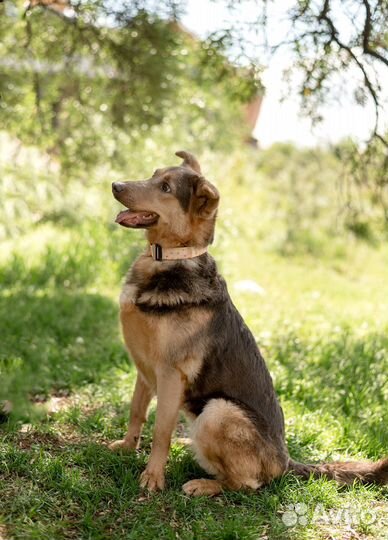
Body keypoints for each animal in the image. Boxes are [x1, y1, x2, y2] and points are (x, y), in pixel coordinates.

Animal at [110, 150, 386, 496]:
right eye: (154, 174)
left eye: (165, 188)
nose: (115, 185)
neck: (170, 258)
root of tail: (285, 462)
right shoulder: (144, 369)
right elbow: (136, 411)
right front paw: (127, 447)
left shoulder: (171, 375)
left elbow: (161, 431)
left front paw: (153, 476)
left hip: (218, 411)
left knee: (245, 483)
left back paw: (204, 484)